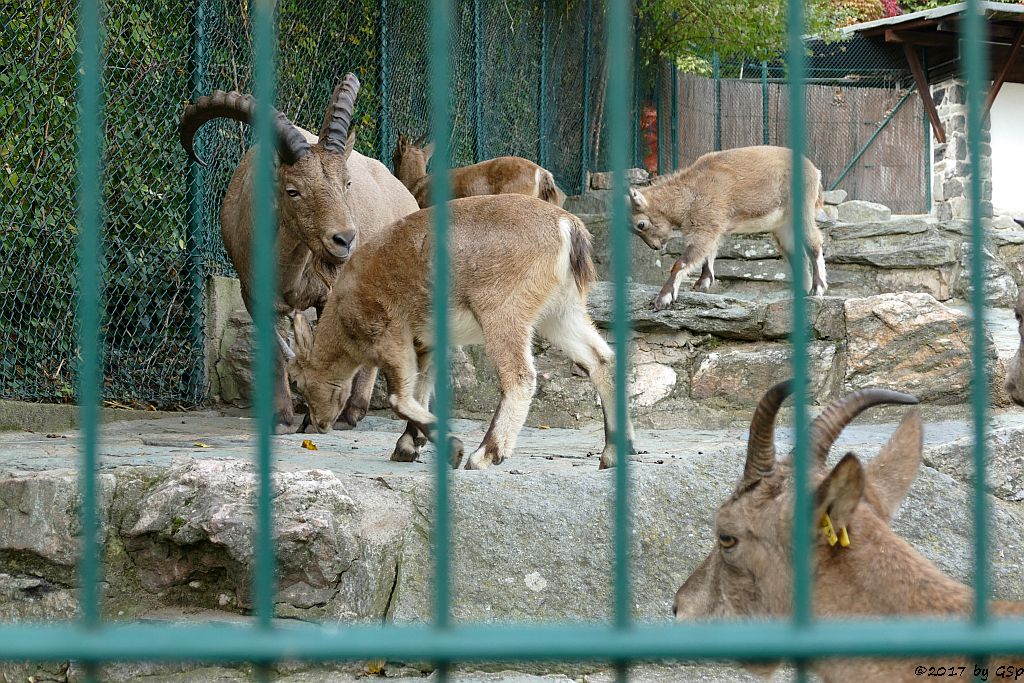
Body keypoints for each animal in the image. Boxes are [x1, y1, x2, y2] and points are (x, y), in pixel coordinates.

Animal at [178, 73, 417, 428]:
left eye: (347, 183)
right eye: (293, 190)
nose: (345, 240)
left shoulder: (330, 293)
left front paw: (325, 411)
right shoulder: (255, 296)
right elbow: (277, 352)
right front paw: (283, 416)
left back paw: (354, 410)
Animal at [282, 192, 630, 471]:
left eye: (297, 381)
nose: (320, 424)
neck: (346, 306)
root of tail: (567, 226)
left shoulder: (391, 333)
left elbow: (399, 397)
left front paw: (452, 448)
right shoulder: (427, 342)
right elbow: (421, 390)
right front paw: (407, 446)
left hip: (503, 311)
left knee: (520, 377)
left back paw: (485, 454)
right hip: (561, 313)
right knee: (601, 359)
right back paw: (612, 453)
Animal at [626, 147, 827, 313]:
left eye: (641, 224)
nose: (655, 246)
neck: (690, 192)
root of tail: (814, 171)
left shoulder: (704, 227)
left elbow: (681, 262)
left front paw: (663, 299)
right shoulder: (713, 228)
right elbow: (707, 257)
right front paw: (702, 284)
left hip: (802, 212)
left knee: (814, 244)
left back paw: (817, 289)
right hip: (783, 226)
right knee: (796, 252)